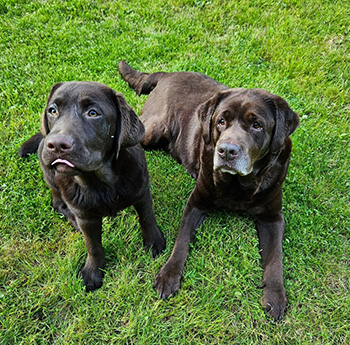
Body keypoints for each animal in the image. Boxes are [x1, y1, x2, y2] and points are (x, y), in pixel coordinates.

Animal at [18, 80, 166, 290]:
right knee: (58, 203)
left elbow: (147, 219)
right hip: (52, 177)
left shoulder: (142, 192)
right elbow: (93, 246)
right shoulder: (86, 217)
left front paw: (154, 243)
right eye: (52, 111)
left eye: (93, 113)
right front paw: (93, 272)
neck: (102, 181)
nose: (56, 145)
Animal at [119, 61, 300, 320]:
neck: (239, 184)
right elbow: (182, 241)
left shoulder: (273, 217)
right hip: (152, 130)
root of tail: (168, 74)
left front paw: (275, 295)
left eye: (256, 125)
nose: (227, 151)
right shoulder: (196, 202)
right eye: (221, 122)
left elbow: (275, 257)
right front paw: (169, 275)